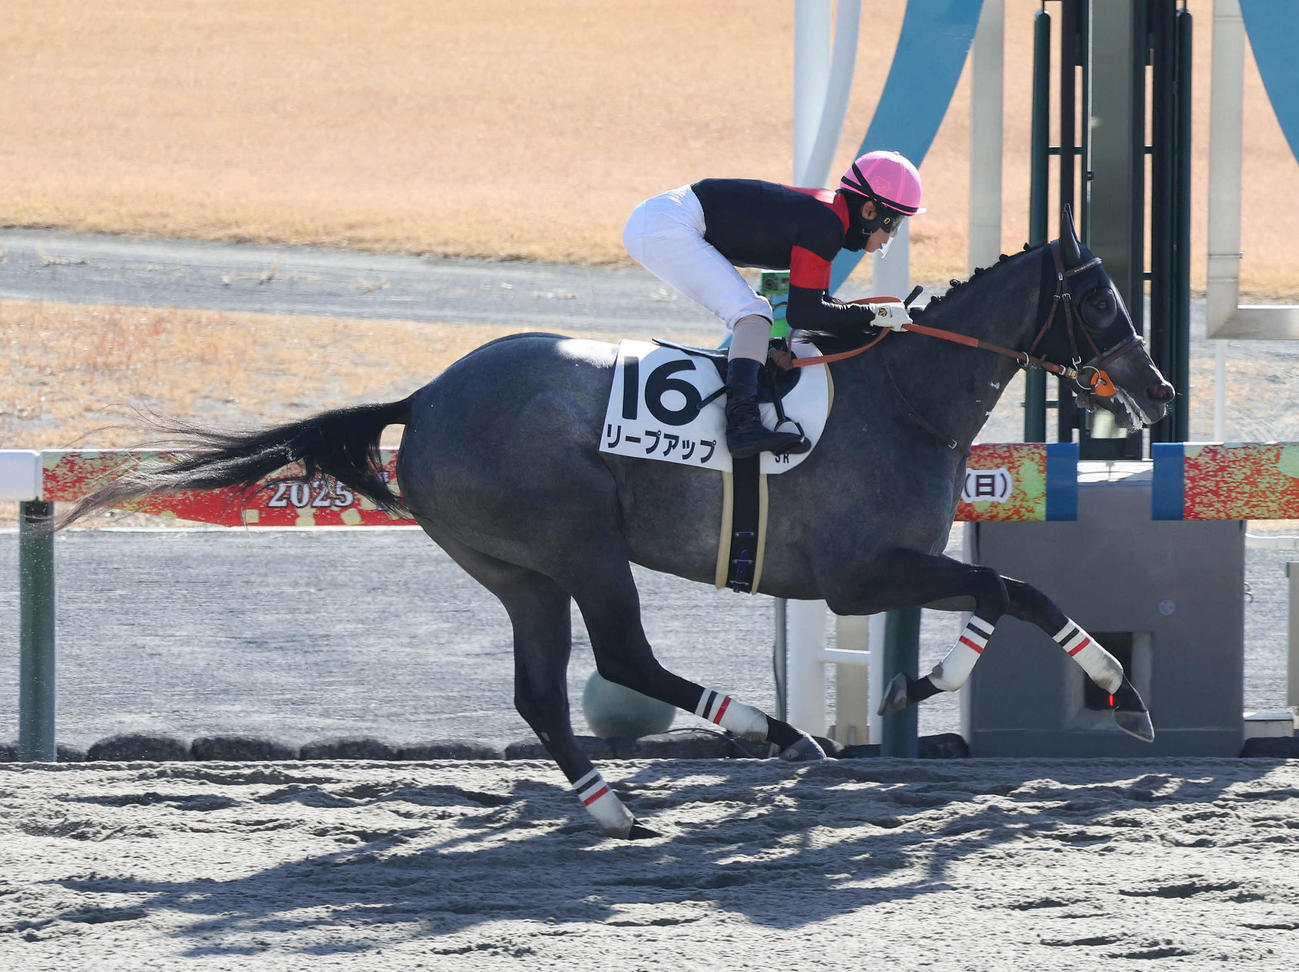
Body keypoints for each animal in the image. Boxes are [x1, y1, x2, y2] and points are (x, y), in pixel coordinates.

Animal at [61, 211, 1174, 839]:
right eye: (1101, 299)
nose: (1158, 389)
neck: (902, 396)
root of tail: (426, 398)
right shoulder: (858, 573)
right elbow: (1011, 586)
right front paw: (1115, 689)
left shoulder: (894, 564)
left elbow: (1002, 592)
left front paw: (936, 681)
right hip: (582, 546)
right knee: (624, 658)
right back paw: (771, 734)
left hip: (517, 571)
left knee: (542, 692)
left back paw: (612, 801)